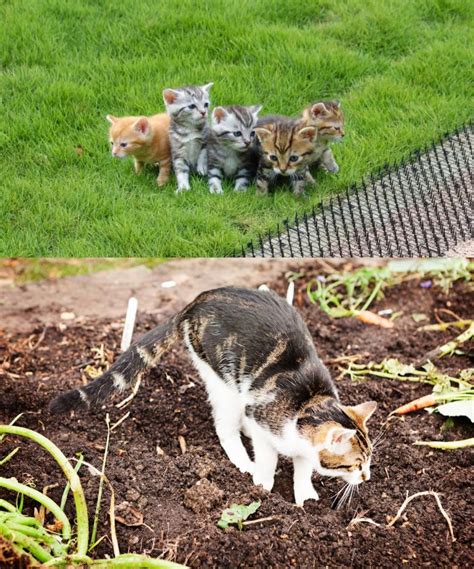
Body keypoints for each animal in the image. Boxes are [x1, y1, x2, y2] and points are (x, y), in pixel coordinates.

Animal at [51, 286, 378, 504]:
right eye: (356, 464)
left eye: (369, 461)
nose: (367, 478)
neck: (308, 402)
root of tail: (199, 299)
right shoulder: (264, 423)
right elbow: (268, 458)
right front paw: (263, 483)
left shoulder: (300, 444)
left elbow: (303, 468)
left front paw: (305, 495)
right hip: (221, 376)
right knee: (225, 426)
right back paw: (243, 460)